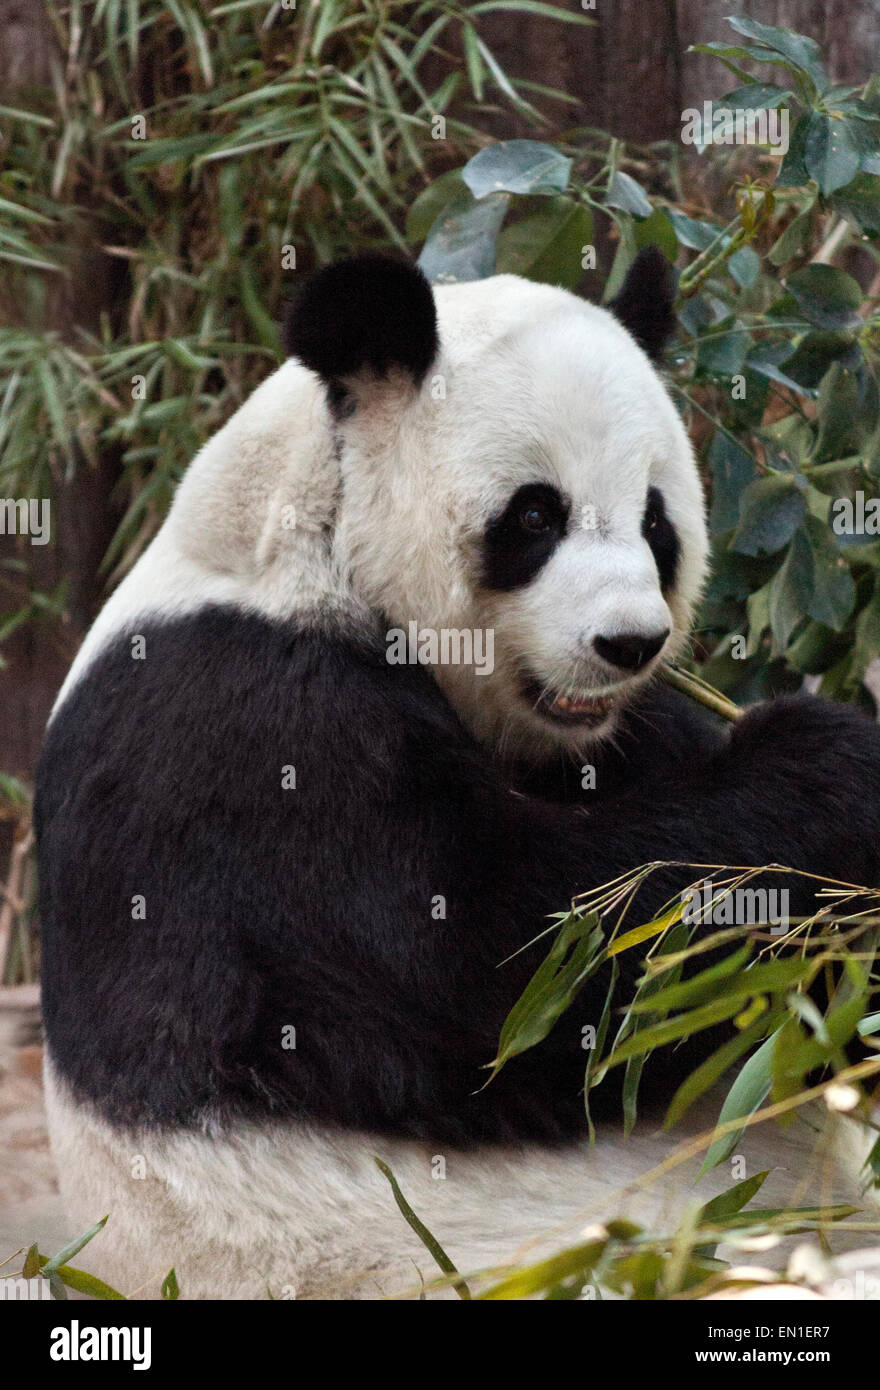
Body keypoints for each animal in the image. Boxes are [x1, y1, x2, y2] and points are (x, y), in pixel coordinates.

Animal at [34, 252, 878, 1301]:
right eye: (535, 515)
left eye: (656, 522)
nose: (630, 643)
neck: (307, 545)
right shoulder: (240, 732)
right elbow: (497, 964)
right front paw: (831, 765)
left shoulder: (624, 735)